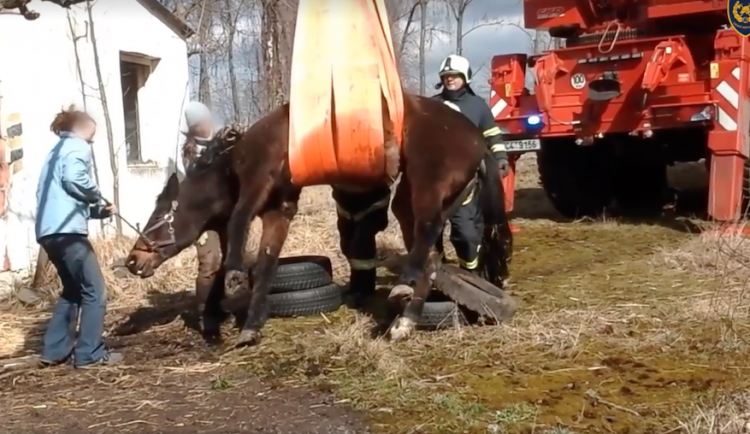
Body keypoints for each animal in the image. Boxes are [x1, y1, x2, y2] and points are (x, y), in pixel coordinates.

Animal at [128, 95, 516, 346]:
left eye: (160, 214)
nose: (133, 260)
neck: (230, 162)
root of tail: (479, 141)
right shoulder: (279, 211)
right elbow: (266, 264)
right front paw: (251, 326)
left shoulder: (257, 178)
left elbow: (239, 221)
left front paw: (236, 276)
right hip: (414, 200)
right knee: (431, 256)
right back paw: (405, 321)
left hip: (426, 185)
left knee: (430, 235)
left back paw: (404, 288)